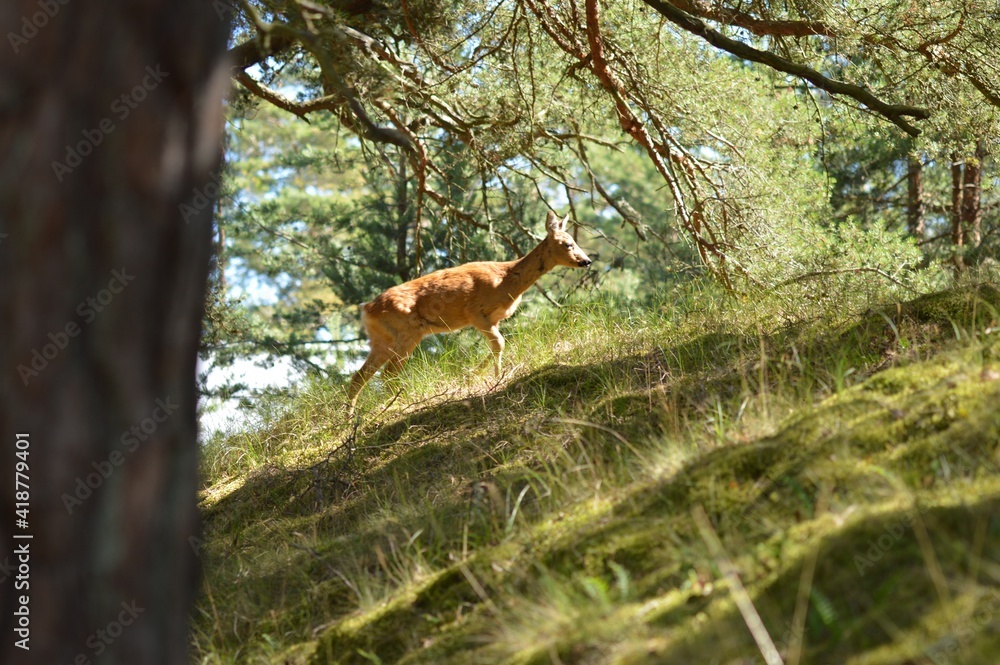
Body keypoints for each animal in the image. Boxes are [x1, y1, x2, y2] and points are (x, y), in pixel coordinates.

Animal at [347, 210, 592, 411]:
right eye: (568, 244)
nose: (587, 261)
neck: (507, 280)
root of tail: (367, 310)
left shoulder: (494, 318)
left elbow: (497, 345)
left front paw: (475, 374)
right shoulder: (474, 312)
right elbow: (499, 343)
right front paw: (496, 377)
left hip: (382, 339)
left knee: (359, 377)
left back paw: (350, 418)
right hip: (407, 333)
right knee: (387, 374)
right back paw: (393, 406)